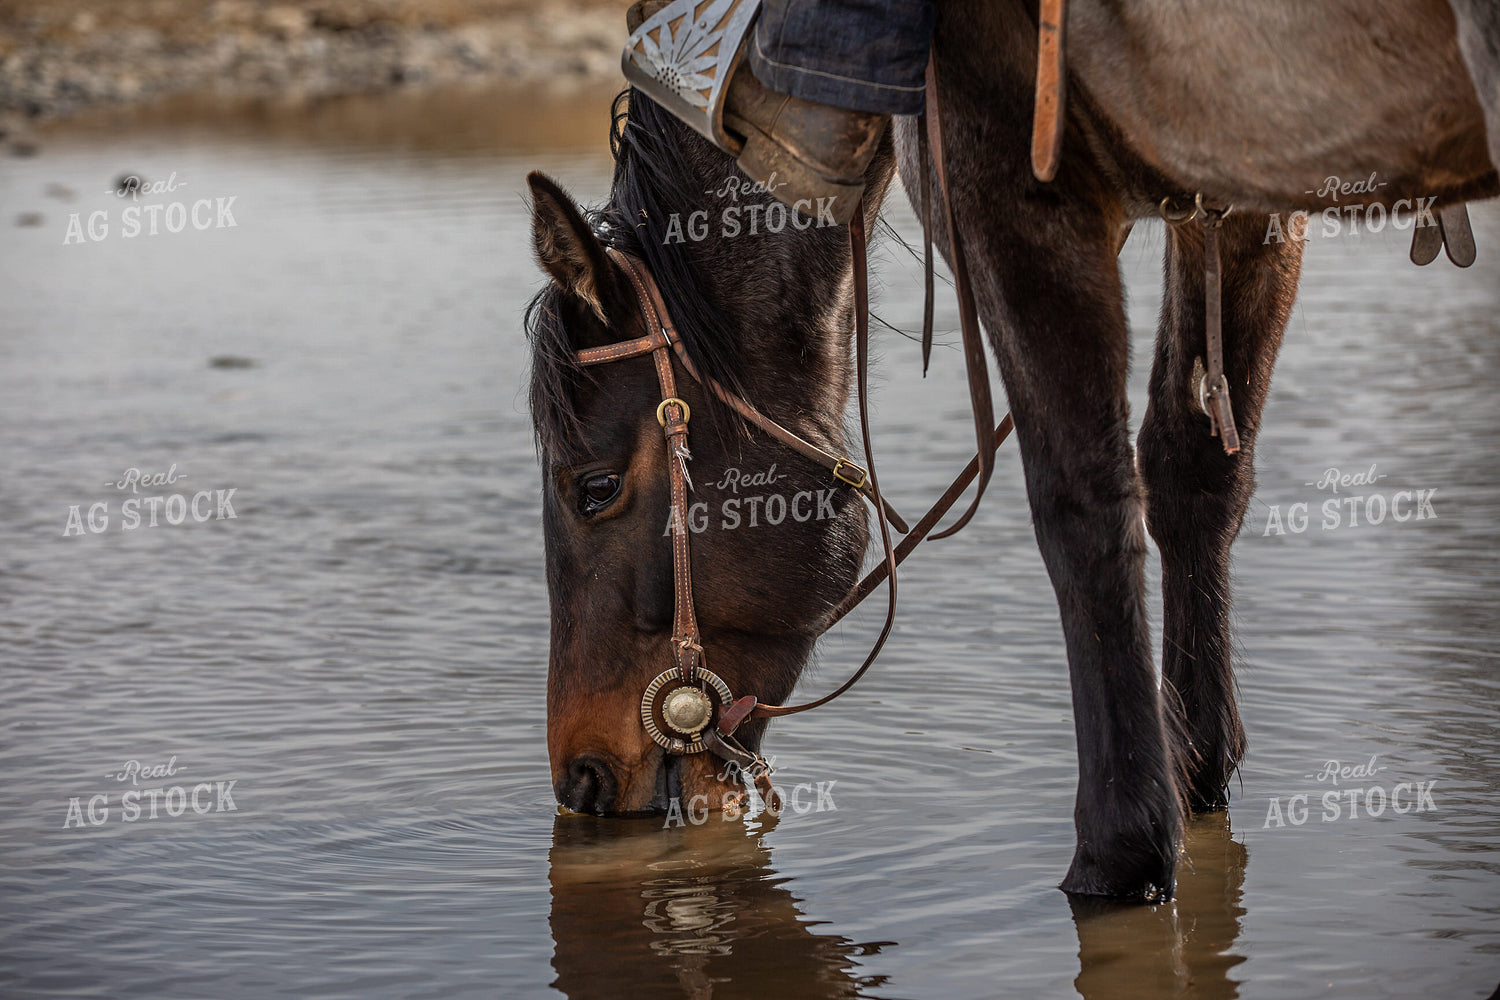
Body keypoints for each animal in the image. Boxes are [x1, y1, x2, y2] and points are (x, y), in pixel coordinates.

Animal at [526, 0, 1499, 901]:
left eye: (594, 486)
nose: (581, 778)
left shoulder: (1008, 184)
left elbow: (1082, 506)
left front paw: (1121, 851)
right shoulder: (1234, 201)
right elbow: (1193, 474)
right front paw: (1195, 775)